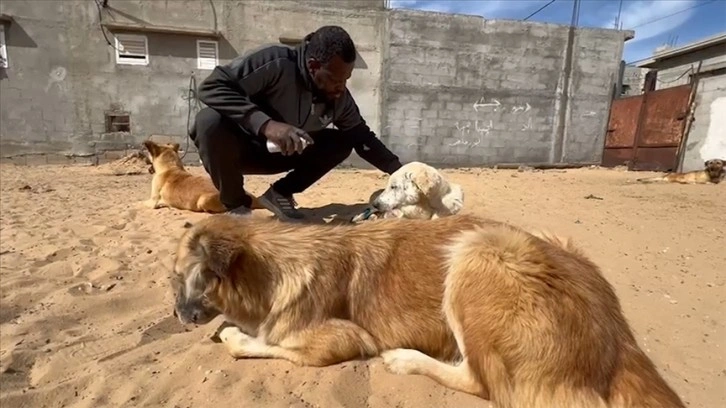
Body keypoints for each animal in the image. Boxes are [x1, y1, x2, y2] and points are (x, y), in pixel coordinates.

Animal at [173, 214, 684, 408]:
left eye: (178, 279)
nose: (177, 314)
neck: (275, 265)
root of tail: (619, 341)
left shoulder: (339, 339)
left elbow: (264, 343)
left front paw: (235, 335)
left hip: (479, 252)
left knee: (485, 384)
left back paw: (407, 359)